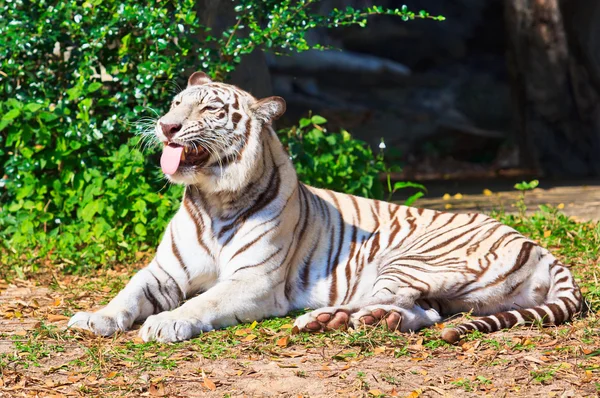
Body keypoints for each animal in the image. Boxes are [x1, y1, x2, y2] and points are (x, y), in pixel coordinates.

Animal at [68, 70, 584, 342]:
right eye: (176, 102)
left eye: (210, 109)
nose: (166, 126)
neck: (214, 198)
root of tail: (536, 245)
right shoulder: (164, 271)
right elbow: (128, 293)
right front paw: (95, 317)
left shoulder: (253, 281)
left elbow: (205, 301)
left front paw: (167, 322)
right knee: (423, 314)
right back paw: (354, 320)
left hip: (411, 258)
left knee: (389, 299)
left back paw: (326, 317)